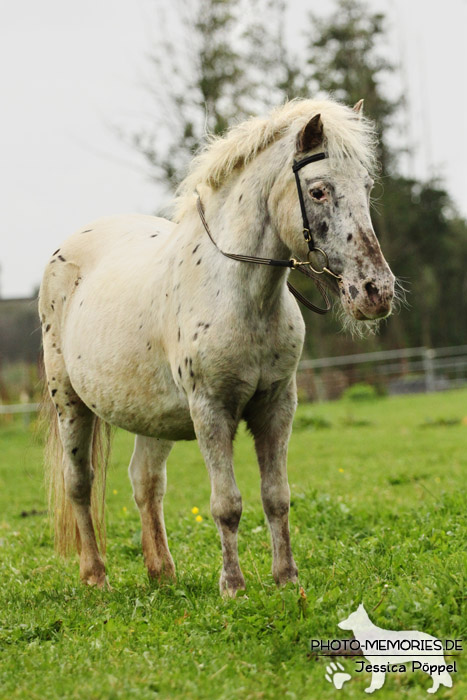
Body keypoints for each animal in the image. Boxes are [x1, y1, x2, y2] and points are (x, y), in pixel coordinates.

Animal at [39, 98, 394, 592]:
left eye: (366, 187)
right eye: (320, 191)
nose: (376, 291)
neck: (240, 295)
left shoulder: (277, 406)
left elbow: (276, 496)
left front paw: (286, 578)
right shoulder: (211, 409)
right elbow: (226, 504)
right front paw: (233, 586)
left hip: (151, 416)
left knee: (146, 481)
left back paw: (162, 574)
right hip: (70, 403)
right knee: (80, 483)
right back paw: (95, 577)